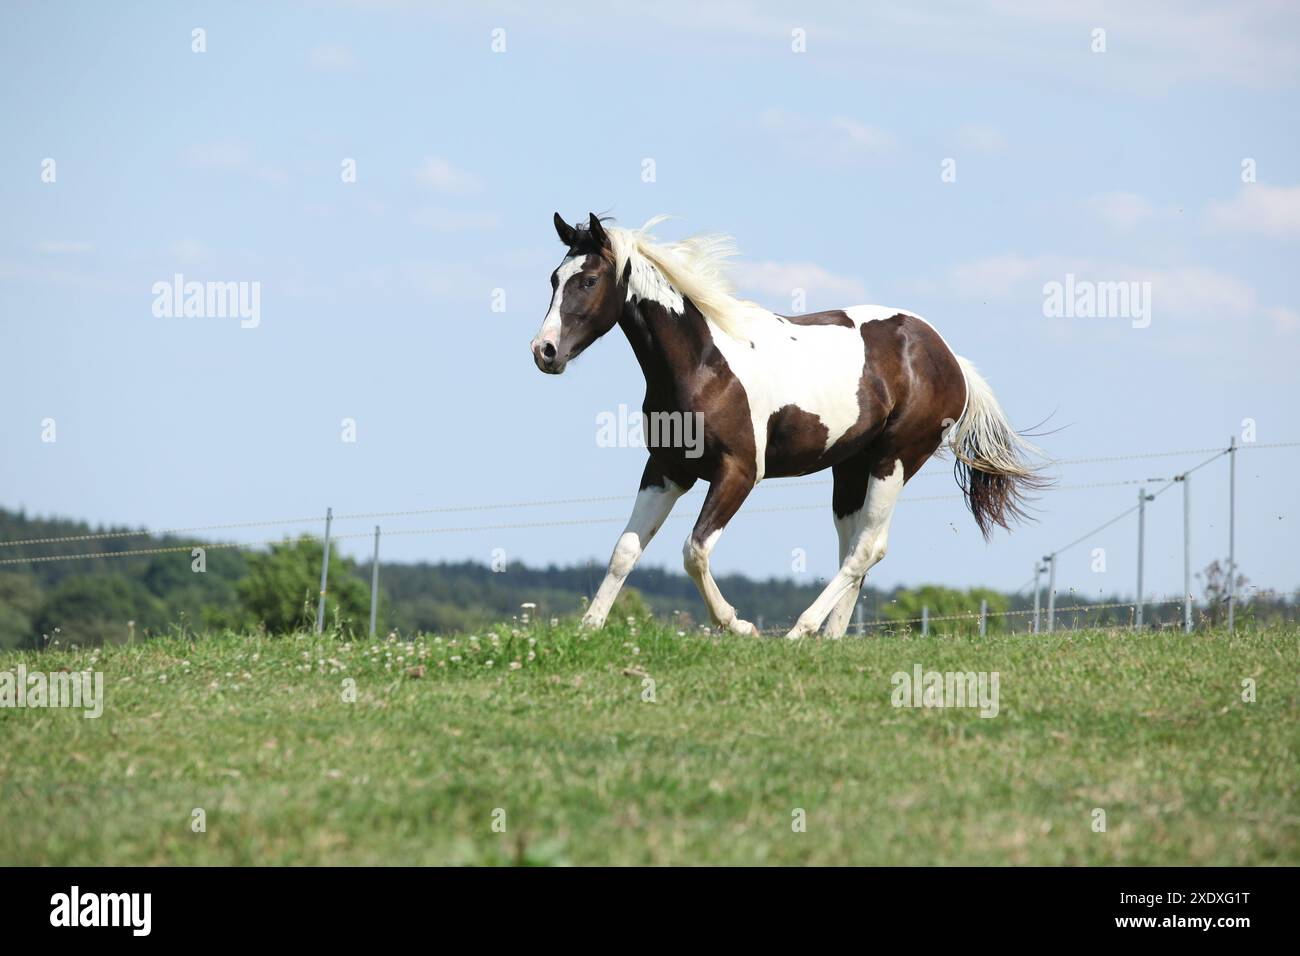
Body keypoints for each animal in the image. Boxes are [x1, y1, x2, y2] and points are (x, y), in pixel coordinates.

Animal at [531, 213, 1044, 638]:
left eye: (589, 279)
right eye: (554, 278)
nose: (544, 351)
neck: (704, 364)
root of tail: (950, 358)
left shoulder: (738, 473)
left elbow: (694, 550)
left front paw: (739, 626)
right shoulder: (666, 471)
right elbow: (625, 550)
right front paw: (589, 628)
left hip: (894, 460)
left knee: (867, 548)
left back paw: (801, 631)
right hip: (850, 468)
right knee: (854, 547)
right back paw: (831, 637)